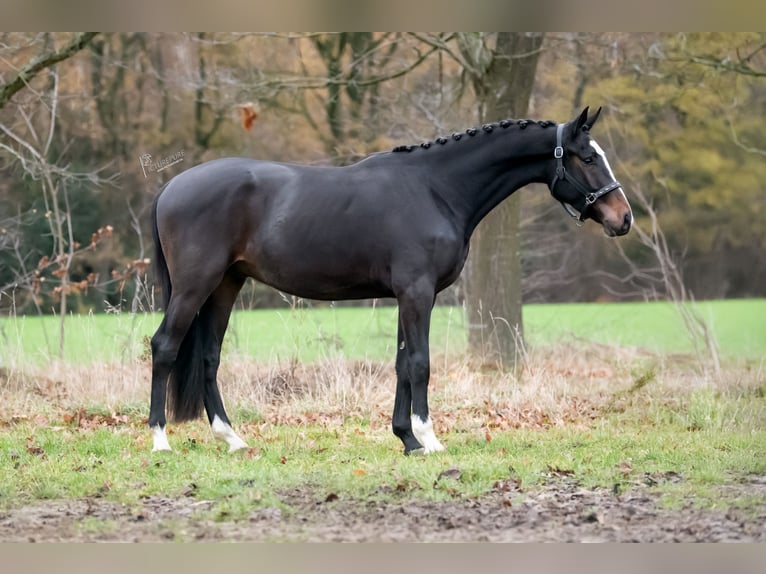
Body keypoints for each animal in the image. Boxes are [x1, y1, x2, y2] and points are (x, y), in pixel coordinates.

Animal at [148, 106, 632, 455]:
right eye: (589, 157)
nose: (623, 219)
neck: (436, 189)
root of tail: (170, 187)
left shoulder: (408, 296)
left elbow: (401, 364)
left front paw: (407, 439)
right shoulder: (417, 293)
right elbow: (420, 363)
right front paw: (430, 439)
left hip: (226, 285)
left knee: (209, 357)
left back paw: (232, 439)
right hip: (195, 286)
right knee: (165, 347)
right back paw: (160, 440)